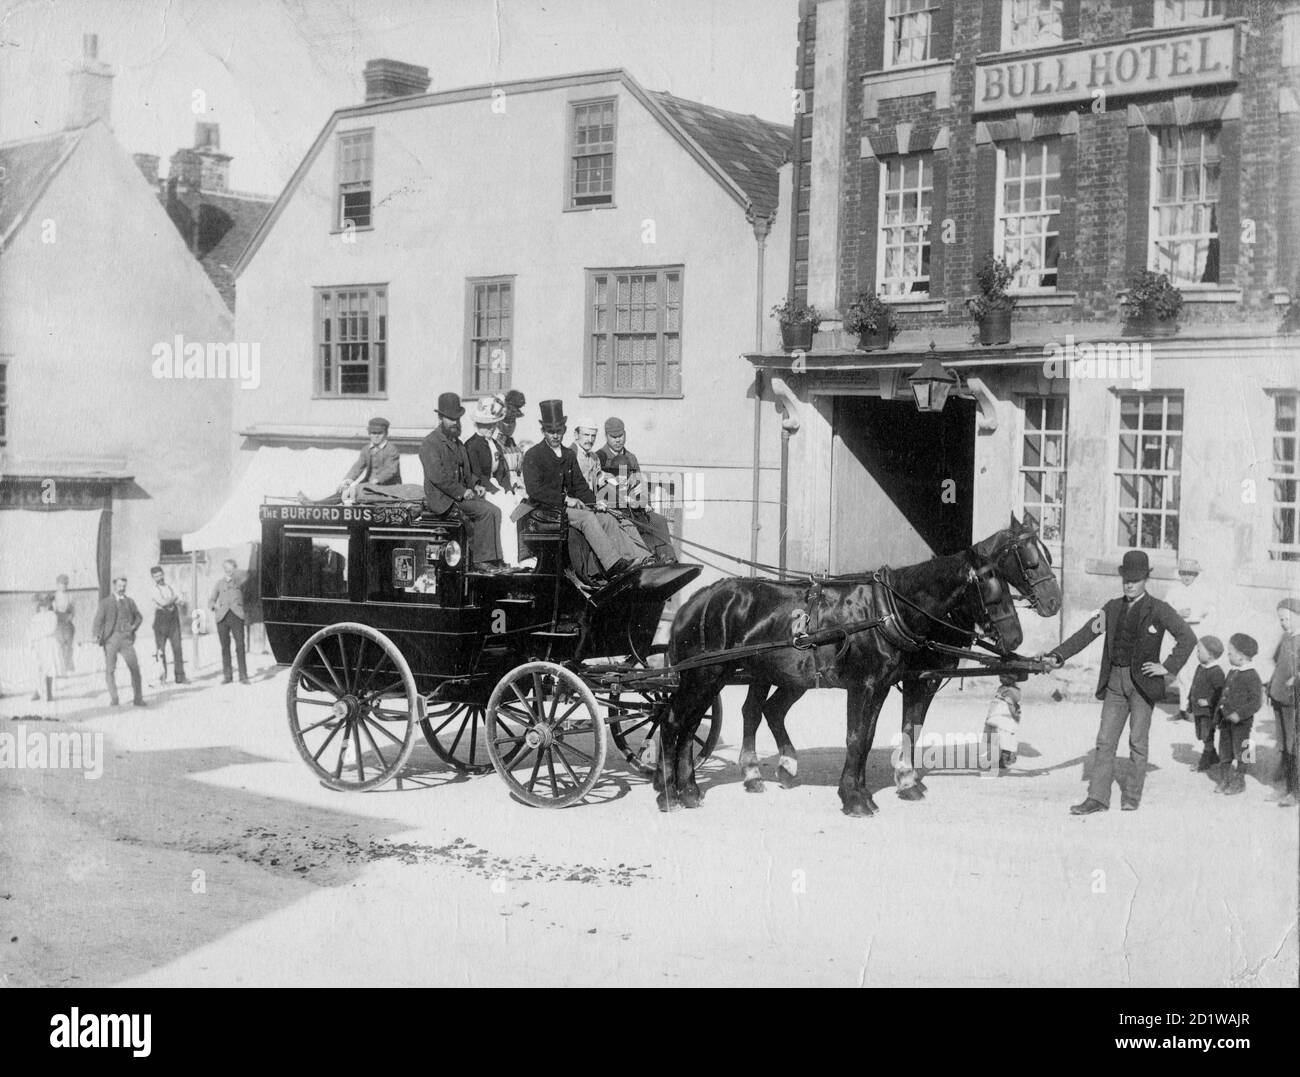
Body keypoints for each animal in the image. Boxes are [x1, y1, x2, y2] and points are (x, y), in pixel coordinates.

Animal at [660, 525, 1034, 811]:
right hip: (703, 676)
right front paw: (854, 798)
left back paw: (691, 789)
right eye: (989, 585)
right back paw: (669, 792)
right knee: (674, 722)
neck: (885, 611)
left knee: (699, 723)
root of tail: (694, 602)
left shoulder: (881, 687)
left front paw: (862, 791)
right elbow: (855, 737)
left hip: (723, 677)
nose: (1016, 637)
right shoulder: (862, 685)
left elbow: (867, 738)